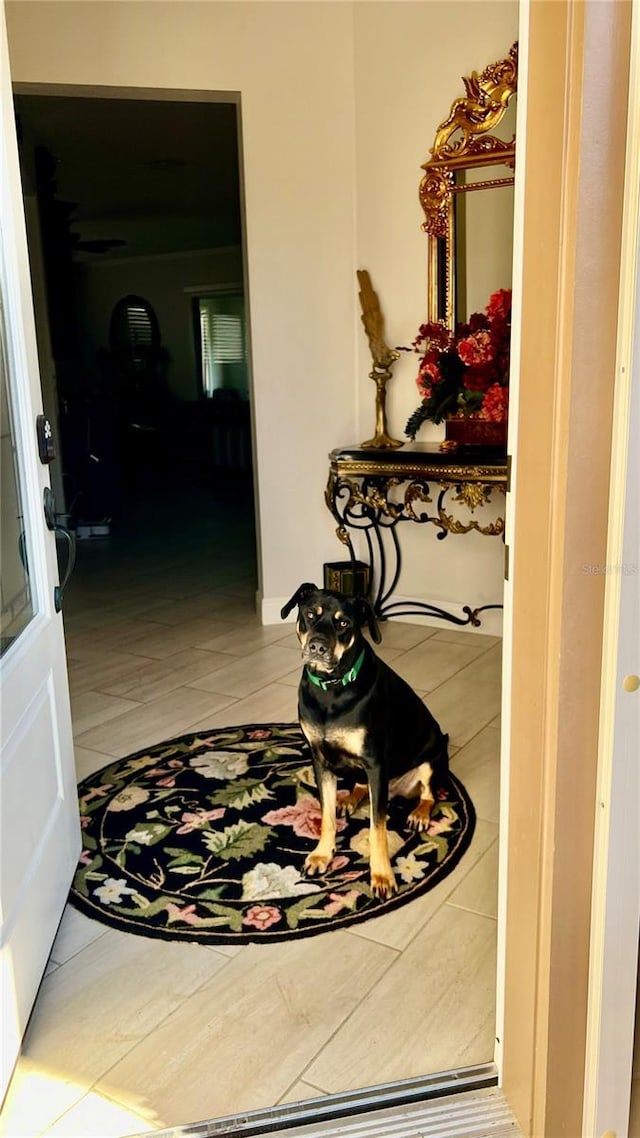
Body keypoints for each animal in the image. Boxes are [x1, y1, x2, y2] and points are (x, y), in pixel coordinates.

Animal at [279, 587, 448, 896]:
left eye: (343, 623)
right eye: (310, 614)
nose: (317, 647)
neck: (331, 689)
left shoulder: (376, 763)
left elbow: (377, 828)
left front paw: (382, 876)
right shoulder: (320, 758)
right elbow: (327, 816)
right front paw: (322, 855)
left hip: (431, 755)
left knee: (429, 793)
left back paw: (419, 813)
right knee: (359, 785)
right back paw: (349, 798)